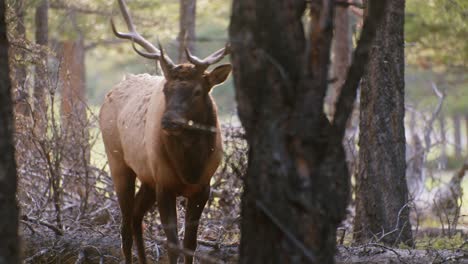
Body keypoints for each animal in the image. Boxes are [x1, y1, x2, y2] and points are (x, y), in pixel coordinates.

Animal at [98, 1, 230, 262]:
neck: (190, 168)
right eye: (166, 89)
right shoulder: (164, 185)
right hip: (118, 162)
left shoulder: (203, 188)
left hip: (147, 177)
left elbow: (190, 244)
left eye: (198, 91)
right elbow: (173, 245)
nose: (168, 121)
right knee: (125, 225)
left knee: (136, 216)